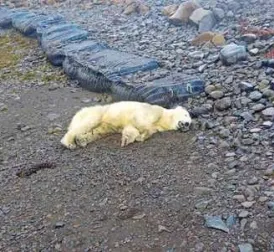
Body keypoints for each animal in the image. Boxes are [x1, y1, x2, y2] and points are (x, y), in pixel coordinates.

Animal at [61, 100, 192, 149]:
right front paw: (142, 135)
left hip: (104, 125)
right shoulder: (153, 111)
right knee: (87, 124)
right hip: (97, 113)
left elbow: (131, 129)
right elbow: (141, 122)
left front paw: (128, 139)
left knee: (98, 131)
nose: (187, 125)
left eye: (190, 123)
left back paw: (81, 140)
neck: (163, 118)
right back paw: (69, 143)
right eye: (186, 115)